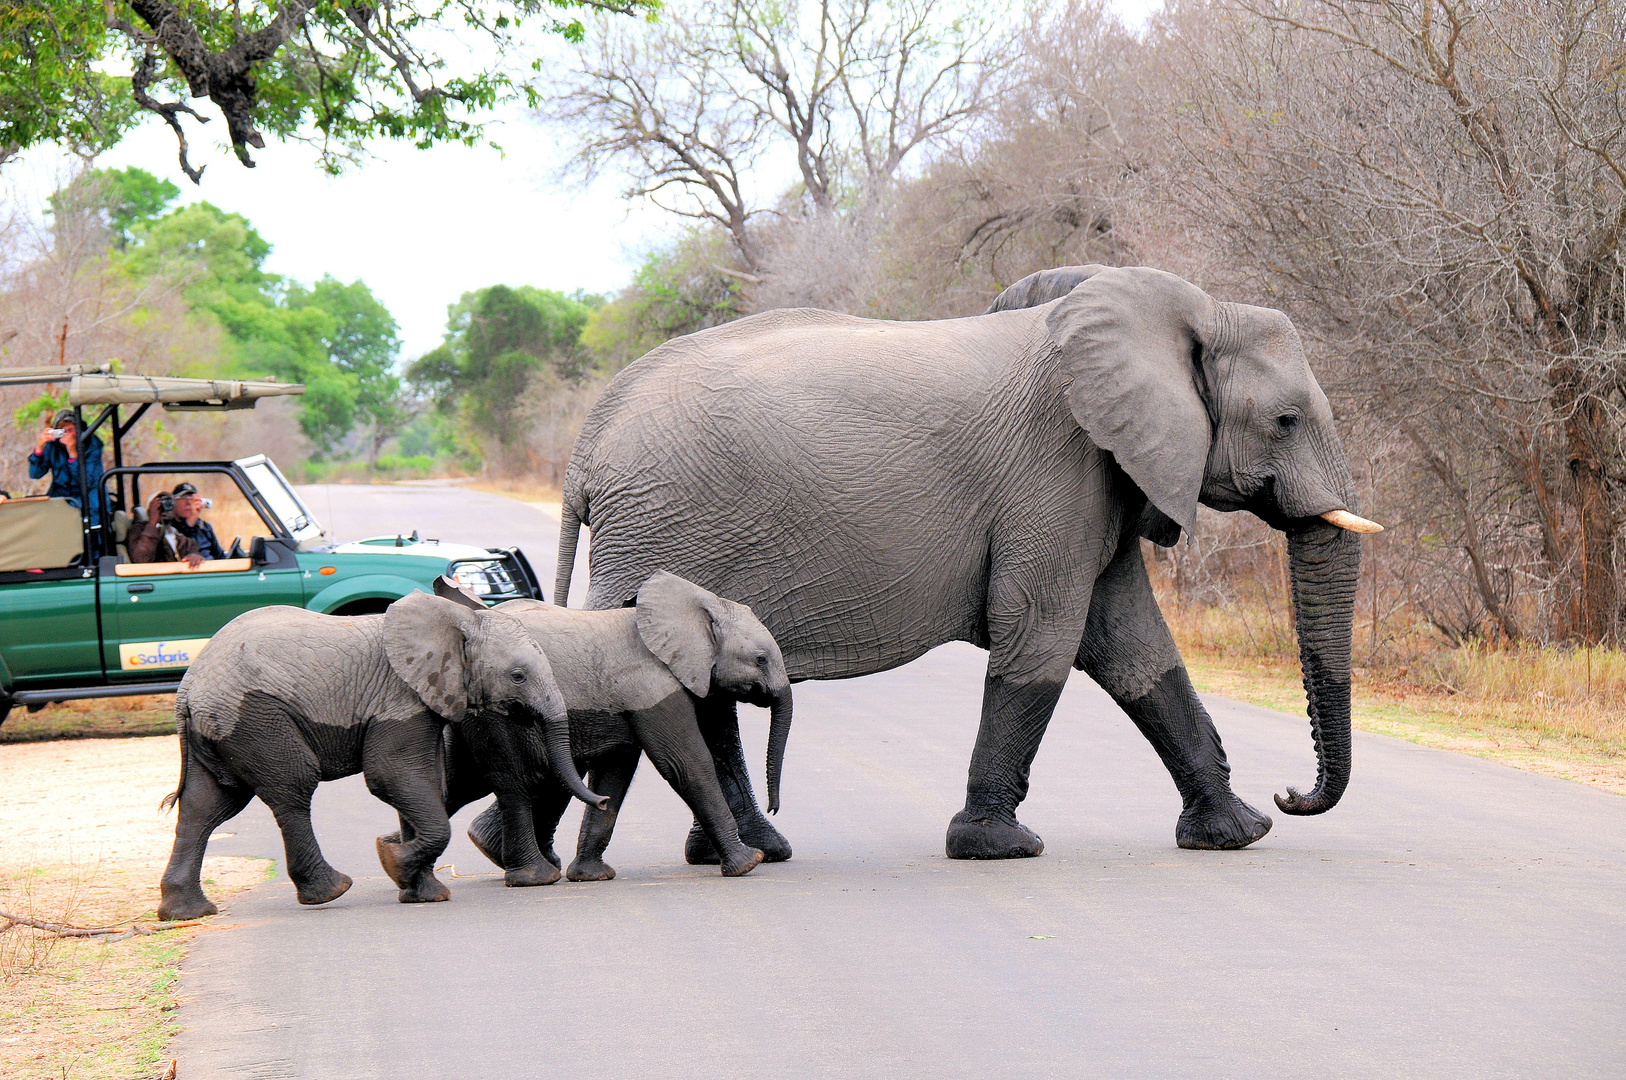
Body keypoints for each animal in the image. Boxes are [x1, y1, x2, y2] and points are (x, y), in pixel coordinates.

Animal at [156, 592, 604, 917]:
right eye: (517, 676)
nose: (602, 799)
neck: (458, 620)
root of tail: (187, 688)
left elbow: (424, 782)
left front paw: (421, 892)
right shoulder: (400, 699)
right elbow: (392, 775)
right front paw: (391, 861)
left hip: (221, 727)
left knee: (205, 807)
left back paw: (187, 913)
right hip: (256, 717)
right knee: (292, 789)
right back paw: (331, 891)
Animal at [439, 569, 793, 884]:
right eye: (761, 659)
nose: (774, 807)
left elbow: (615, 773)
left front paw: (591, 876)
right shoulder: (650, 686)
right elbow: (686, 765)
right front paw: (749, 863)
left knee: (460, 781)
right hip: (500, 713)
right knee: (514, 779)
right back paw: (531, 874)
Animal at [552, 268, 1378, 858]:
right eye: (1286, 421)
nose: (1291, 795)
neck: (1183, 309)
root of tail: (585, 451)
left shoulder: (1103, 473)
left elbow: (1132, 645)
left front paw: (1237, 834)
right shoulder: (1057, 468)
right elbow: (1045, 634)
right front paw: (998, 847)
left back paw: (752, 851)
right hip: (665, 526)